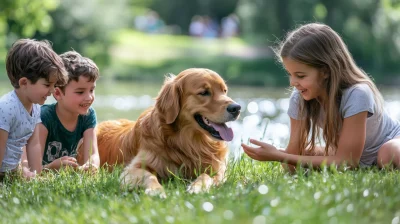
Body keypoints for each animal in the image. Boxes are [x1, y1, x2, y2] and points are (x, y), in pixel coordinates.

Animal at [96, 67, 241, 197]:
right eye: (204, 92)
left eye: (224, 91)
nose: (237, 108)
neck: (188, 143)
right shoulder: (133, 168)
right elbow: (149, 176)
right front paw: (156, 190)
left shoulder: (218, 171)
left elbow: (206, 176)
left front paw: (197, 187)